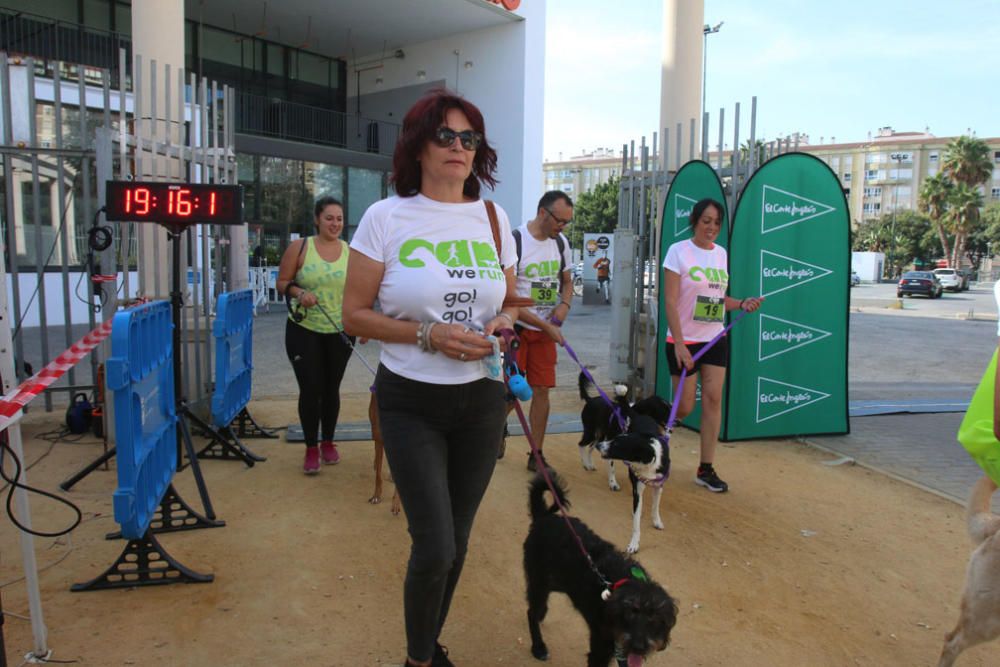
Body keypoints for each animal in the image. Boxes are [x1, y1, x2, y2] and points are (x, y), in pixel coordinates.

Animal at [524, 474, 680, 667]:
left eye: (654, 617)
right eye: (631, 613)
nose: (638, 647)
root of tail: (543, 517)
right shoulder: (601, 647)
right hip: (539, 582)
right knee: (531, 612)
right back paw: (538, 647)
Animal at [596, 414, 668, 556]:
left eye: (617, 444)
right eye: (614, 440)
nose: (598, 445)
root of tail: (639, 415)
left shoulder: (659, 486)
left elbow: (655, 506)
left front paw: (656, 521)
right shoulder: (638, 489)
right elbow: (636, 523)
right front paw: (634, 544)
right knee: (611, 465)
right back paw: (613, 483)